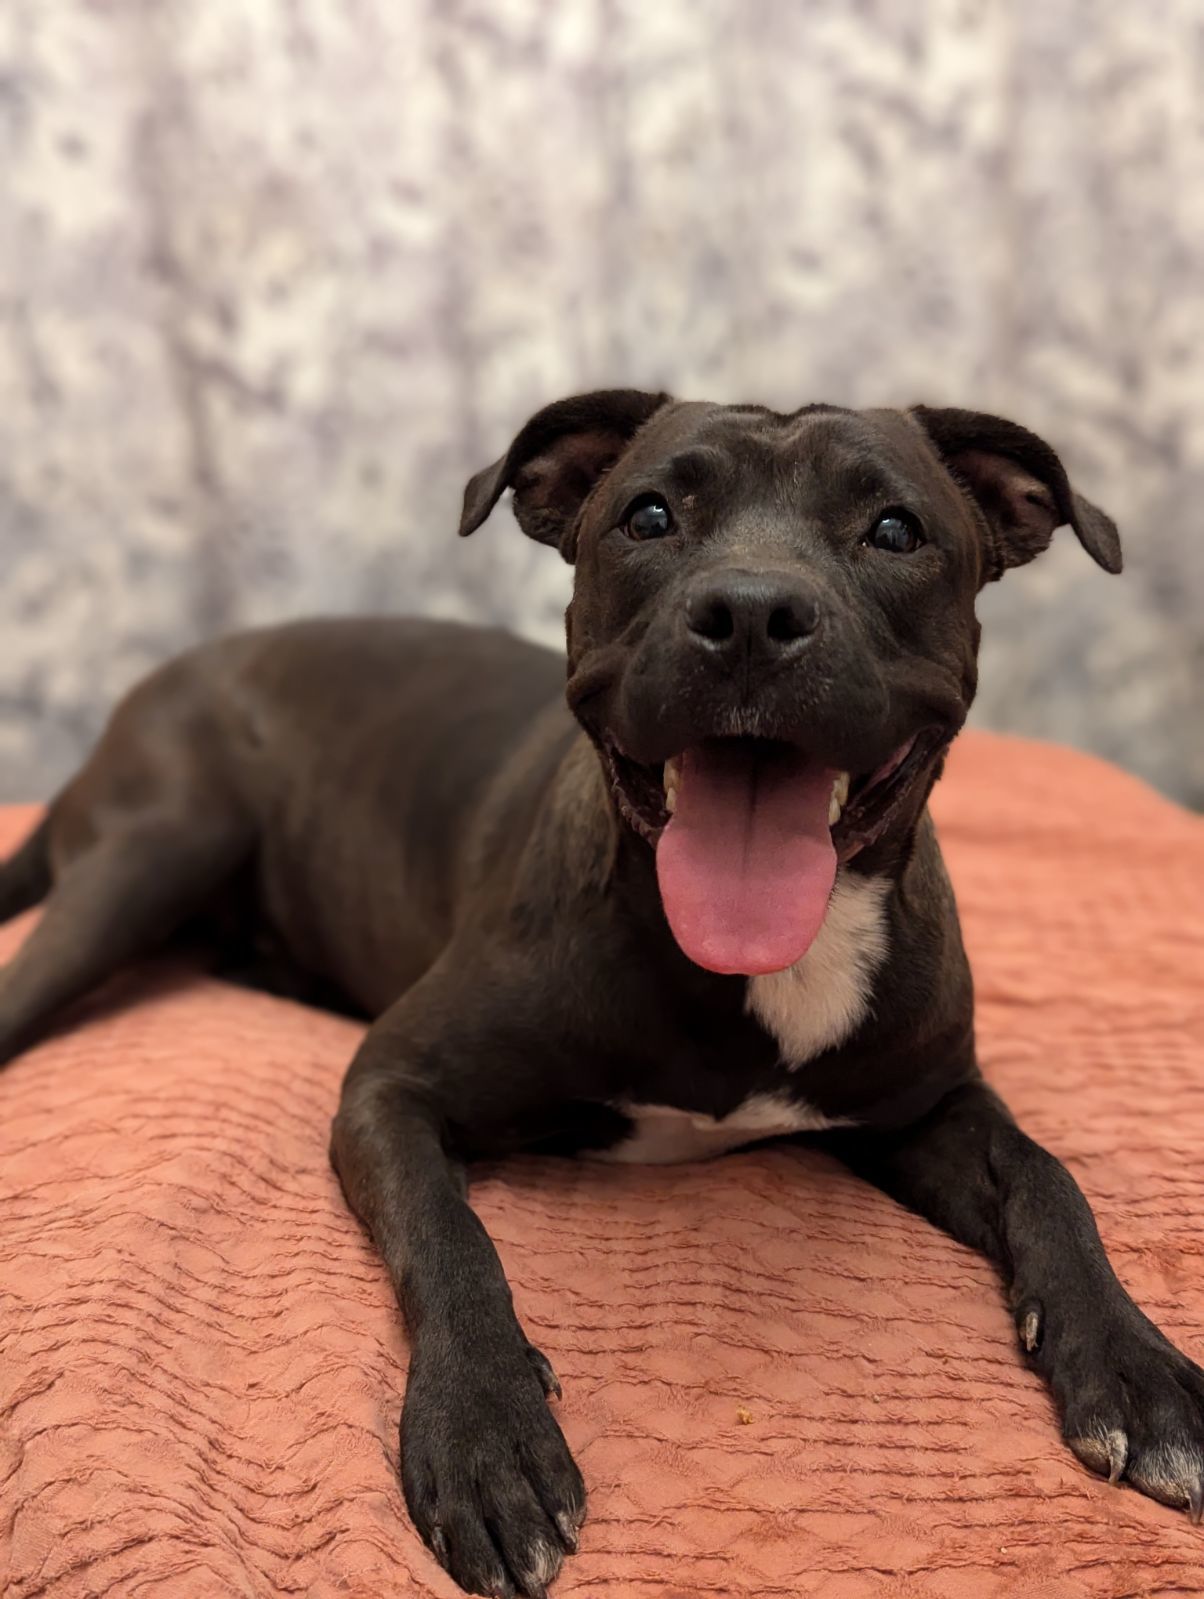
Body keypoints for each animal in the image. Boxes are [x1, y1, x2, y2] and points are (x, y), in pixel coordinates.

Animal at [2, 390, 1202, 1599]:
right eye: (650, 515)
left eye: (896, 531)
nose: (752, 612)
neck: (759, 970)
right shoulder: (390, 1088)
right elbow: (451, 1238)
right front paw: (485, 1434)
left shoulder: (928, 1104)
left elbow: (1048, 1180)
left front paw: (1134, 1370)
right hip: (155, 848)